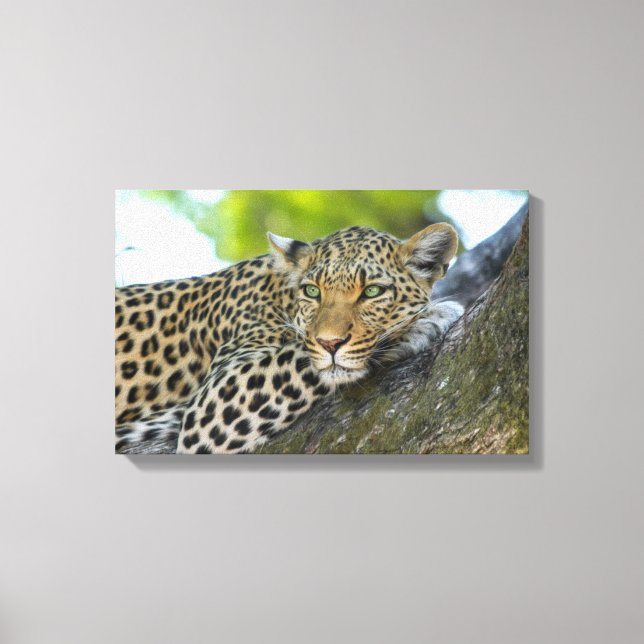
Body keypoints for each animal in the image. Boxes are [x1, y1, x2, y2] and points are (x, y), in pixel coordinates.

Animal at [115, 224, 464, 454]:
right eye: (312, 291)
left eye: (372, 292)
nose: (330, 344)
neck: (280, 295)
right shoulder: (214, 402)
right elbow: (302, 355)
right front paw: (425, 320)